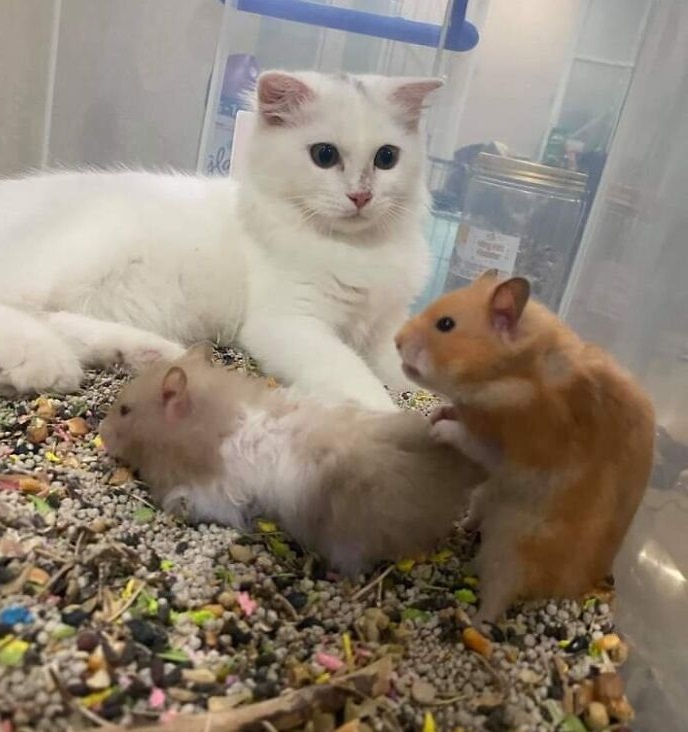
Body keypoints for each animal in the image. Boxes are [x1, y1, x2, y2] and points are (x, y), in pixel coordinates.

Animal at [0, 71, 442, 410]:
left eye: (386, 158)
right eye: (324, 155)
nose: (361, 196)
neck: (359, 249)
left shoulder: (387, 332)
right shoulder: (290, 322)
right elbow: (353, 374)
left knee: (57, 318)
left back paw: (143, 352)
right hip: (77, 253)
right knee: (19, 308)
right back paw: (43, 362)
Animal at [395, 269, 655, 623]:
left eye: (445, 324)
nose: (395, 340)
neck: (511, 375)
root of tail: (575, 587)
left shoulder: (509, 448)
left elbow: (466, 436)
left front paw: (436, 429)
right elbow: (454, 412)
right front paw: (436, 414)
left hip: (512, 547)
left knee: (498, 596)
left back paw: (473, 622)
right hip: (487, 500)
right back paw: (465, 528)